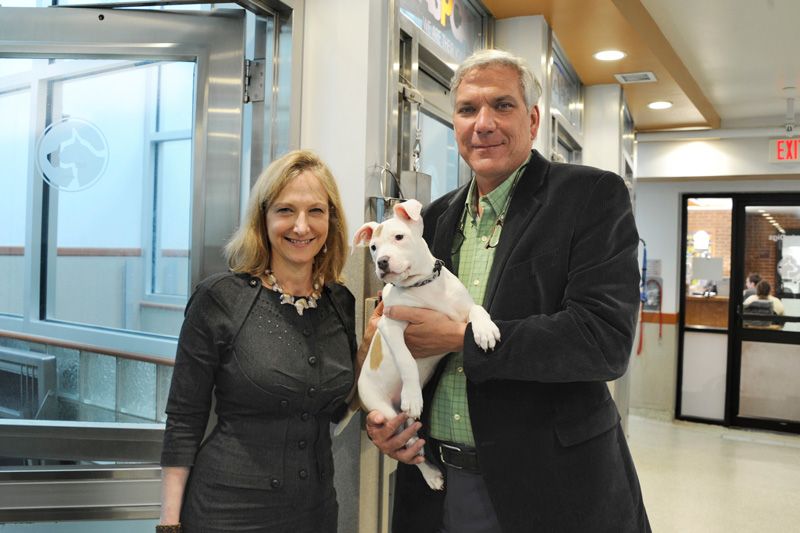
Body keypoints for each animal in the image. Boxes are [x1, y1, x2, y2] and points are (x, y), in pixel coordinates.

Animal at [338, 197, 500, 488]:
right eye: (373, 247)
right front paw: (413, 395)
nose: (382, 262)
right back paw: (431, 474)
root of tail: (358, 394)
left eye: (399, 237)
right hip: (387, 414)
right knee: (413, 449)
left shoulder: (461, 310)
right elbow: (406, 360)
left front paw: (485, 329)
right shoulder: (390, 325)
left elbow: (477, 309)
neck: (423, 285)